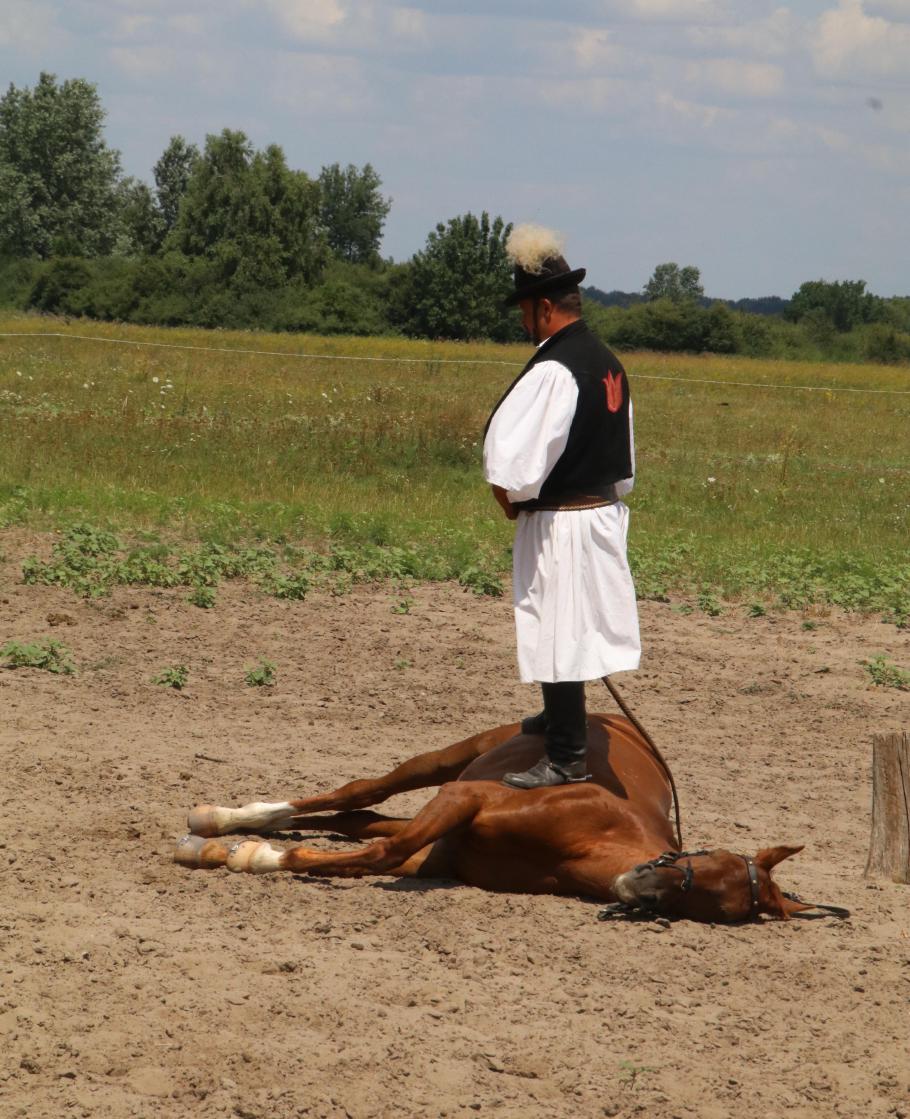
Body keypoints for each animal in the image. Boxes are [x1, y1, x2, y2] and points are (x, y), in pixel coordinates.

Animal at [175, 713, 821, 923]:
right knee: (360, 790)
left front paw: (248, 853)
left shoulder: (437, 853)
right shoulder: (466, 799)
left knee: (361, 815)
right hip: (447, 763)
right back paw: (223, 821)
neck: (588, 840)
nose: (643, 887)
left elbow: (366, 852)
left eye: (717, 908)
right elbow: (375, 852)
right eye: (700, 862)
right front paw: (251, 855)